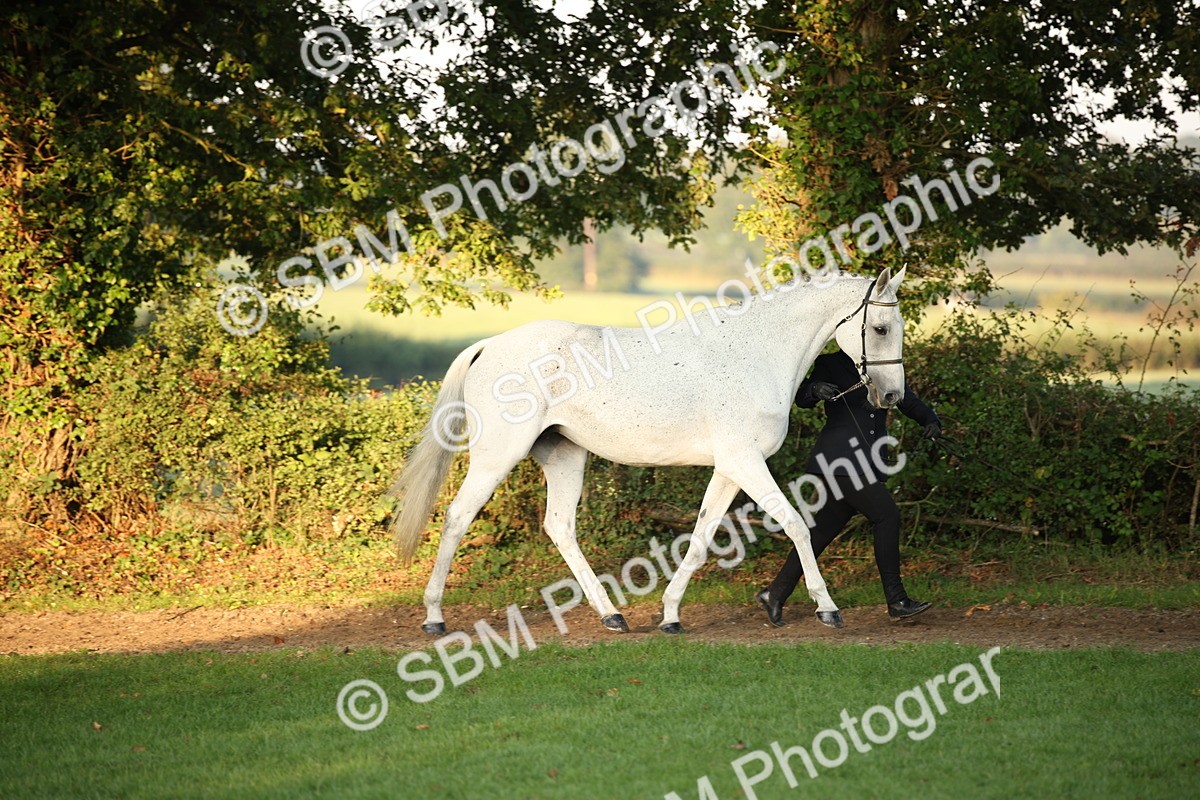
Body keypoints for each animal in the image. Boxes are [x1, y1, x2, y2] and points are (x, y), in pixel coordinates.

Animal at [388, 266, 908, 635]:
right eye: (881, 328)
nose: (891, 396)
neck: (756, 354)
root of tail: (490, 345)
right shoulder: (745, 463)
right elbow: (796, 524)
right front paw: (828, 608)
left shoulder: (729, 468)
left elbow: (700, 538)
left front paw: (671, 614)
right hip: (497, 457)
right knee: (457, 517)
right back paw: (434, 617)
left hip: (565, 456)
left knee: (560, 527)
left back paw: (612, 616)